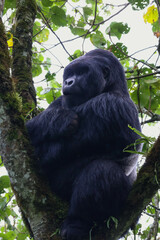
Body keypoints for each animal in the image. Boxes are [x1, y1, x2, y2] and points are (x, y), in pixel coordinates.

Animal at [26, 49, 141, 240]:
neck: (114, 86)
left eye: (82, 72)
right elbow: (31, 126)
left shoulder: (113, 104)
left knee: (102, 169)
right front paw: (57, 120)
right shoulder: (61, 100)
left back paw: (76, 224)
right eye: (69, 74)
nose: (68, 82)